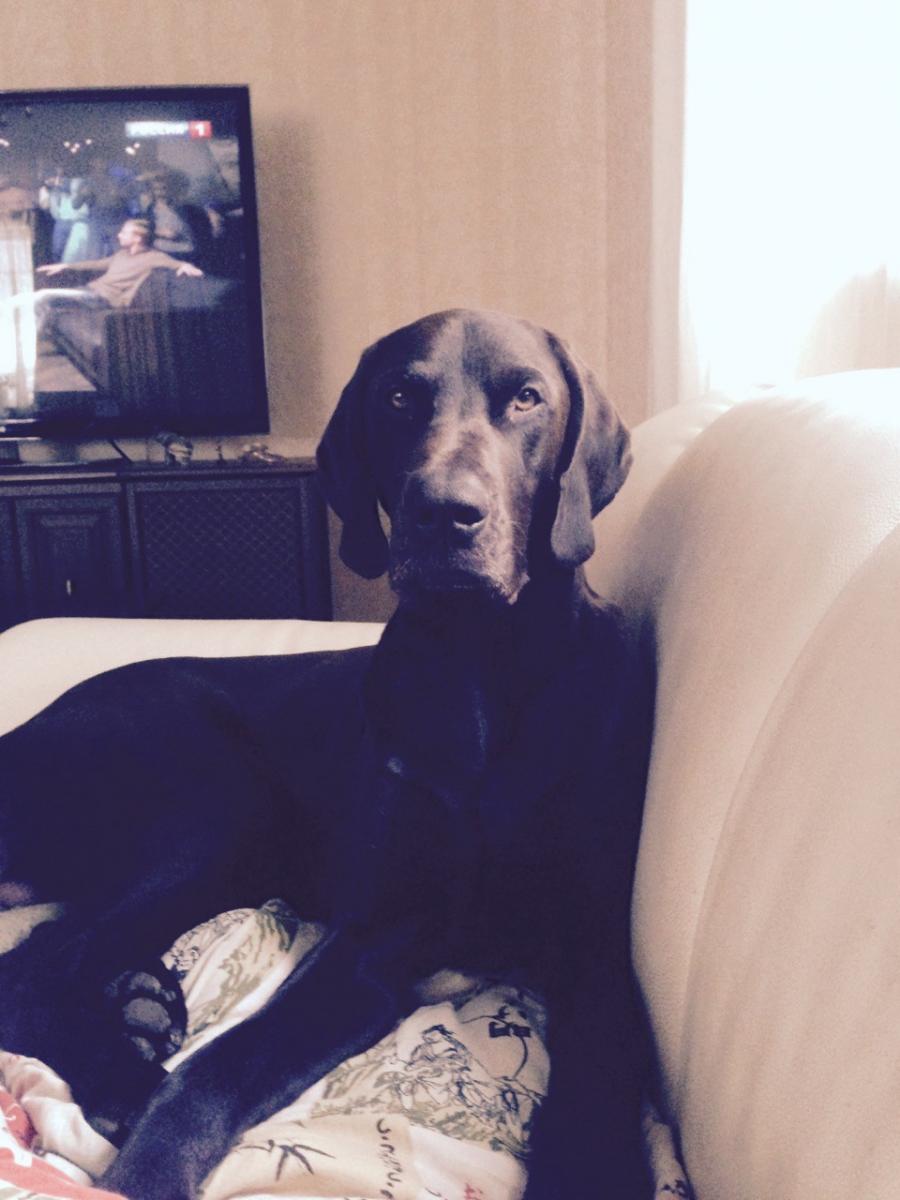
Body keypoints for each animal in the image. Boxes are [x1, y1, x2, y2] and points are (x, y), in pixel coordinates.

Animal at [0, 309, 655, 1198]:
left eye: (527, 398)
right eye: (399, 397)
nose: (444, 513)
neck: (479, 667)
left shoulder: (594, 953)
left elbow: (594, 1124)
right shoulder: (367, 947)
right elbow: (213, 1073)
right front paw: (149, 1161)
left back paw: (138, 1005)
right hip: (213, 805)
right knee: (34, 963)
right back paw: (125, 1069)